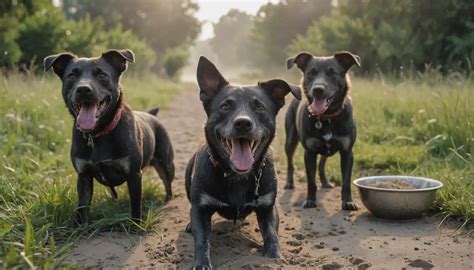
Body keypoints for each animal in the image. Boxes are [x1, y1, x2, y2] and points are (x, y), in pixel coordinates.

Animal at [43, 48, 174, 224]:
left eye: (102, 75)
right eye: (71, 75)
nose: (83, 89)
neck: (98, 133)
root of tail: (151, 115)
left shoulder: (134, 175)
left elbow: (136, 207)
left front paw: (135, 226)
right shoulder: (83, 176)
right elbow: (82, 208)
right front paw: (80, 226)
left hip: (165, 164)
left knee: (167, 182)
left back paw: (168, 200)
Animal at [184, 56, 300, 268]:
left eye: (260, 107)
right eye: (225, 106)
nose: (243, 123)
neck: (236, 176)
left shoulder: (268, 208)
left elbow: (271, 234)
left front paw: (275, 256)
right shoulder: (201, 209)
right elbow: (202, 240)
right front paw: (202, 263)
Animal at [282, 51, 362, 211]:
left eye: (332, 72)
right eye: (310, 73)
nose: (318, 89)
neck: (327, 117)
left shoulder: (347, 152)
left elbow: (346, 182)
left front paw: (348, 202)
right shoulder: (309, 153)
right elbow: (311, 181)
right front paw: (310, 200)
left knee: (322, 163)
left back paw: (325, 182)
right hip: (290, 141)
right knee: (290, 163)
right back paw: (289, 182)